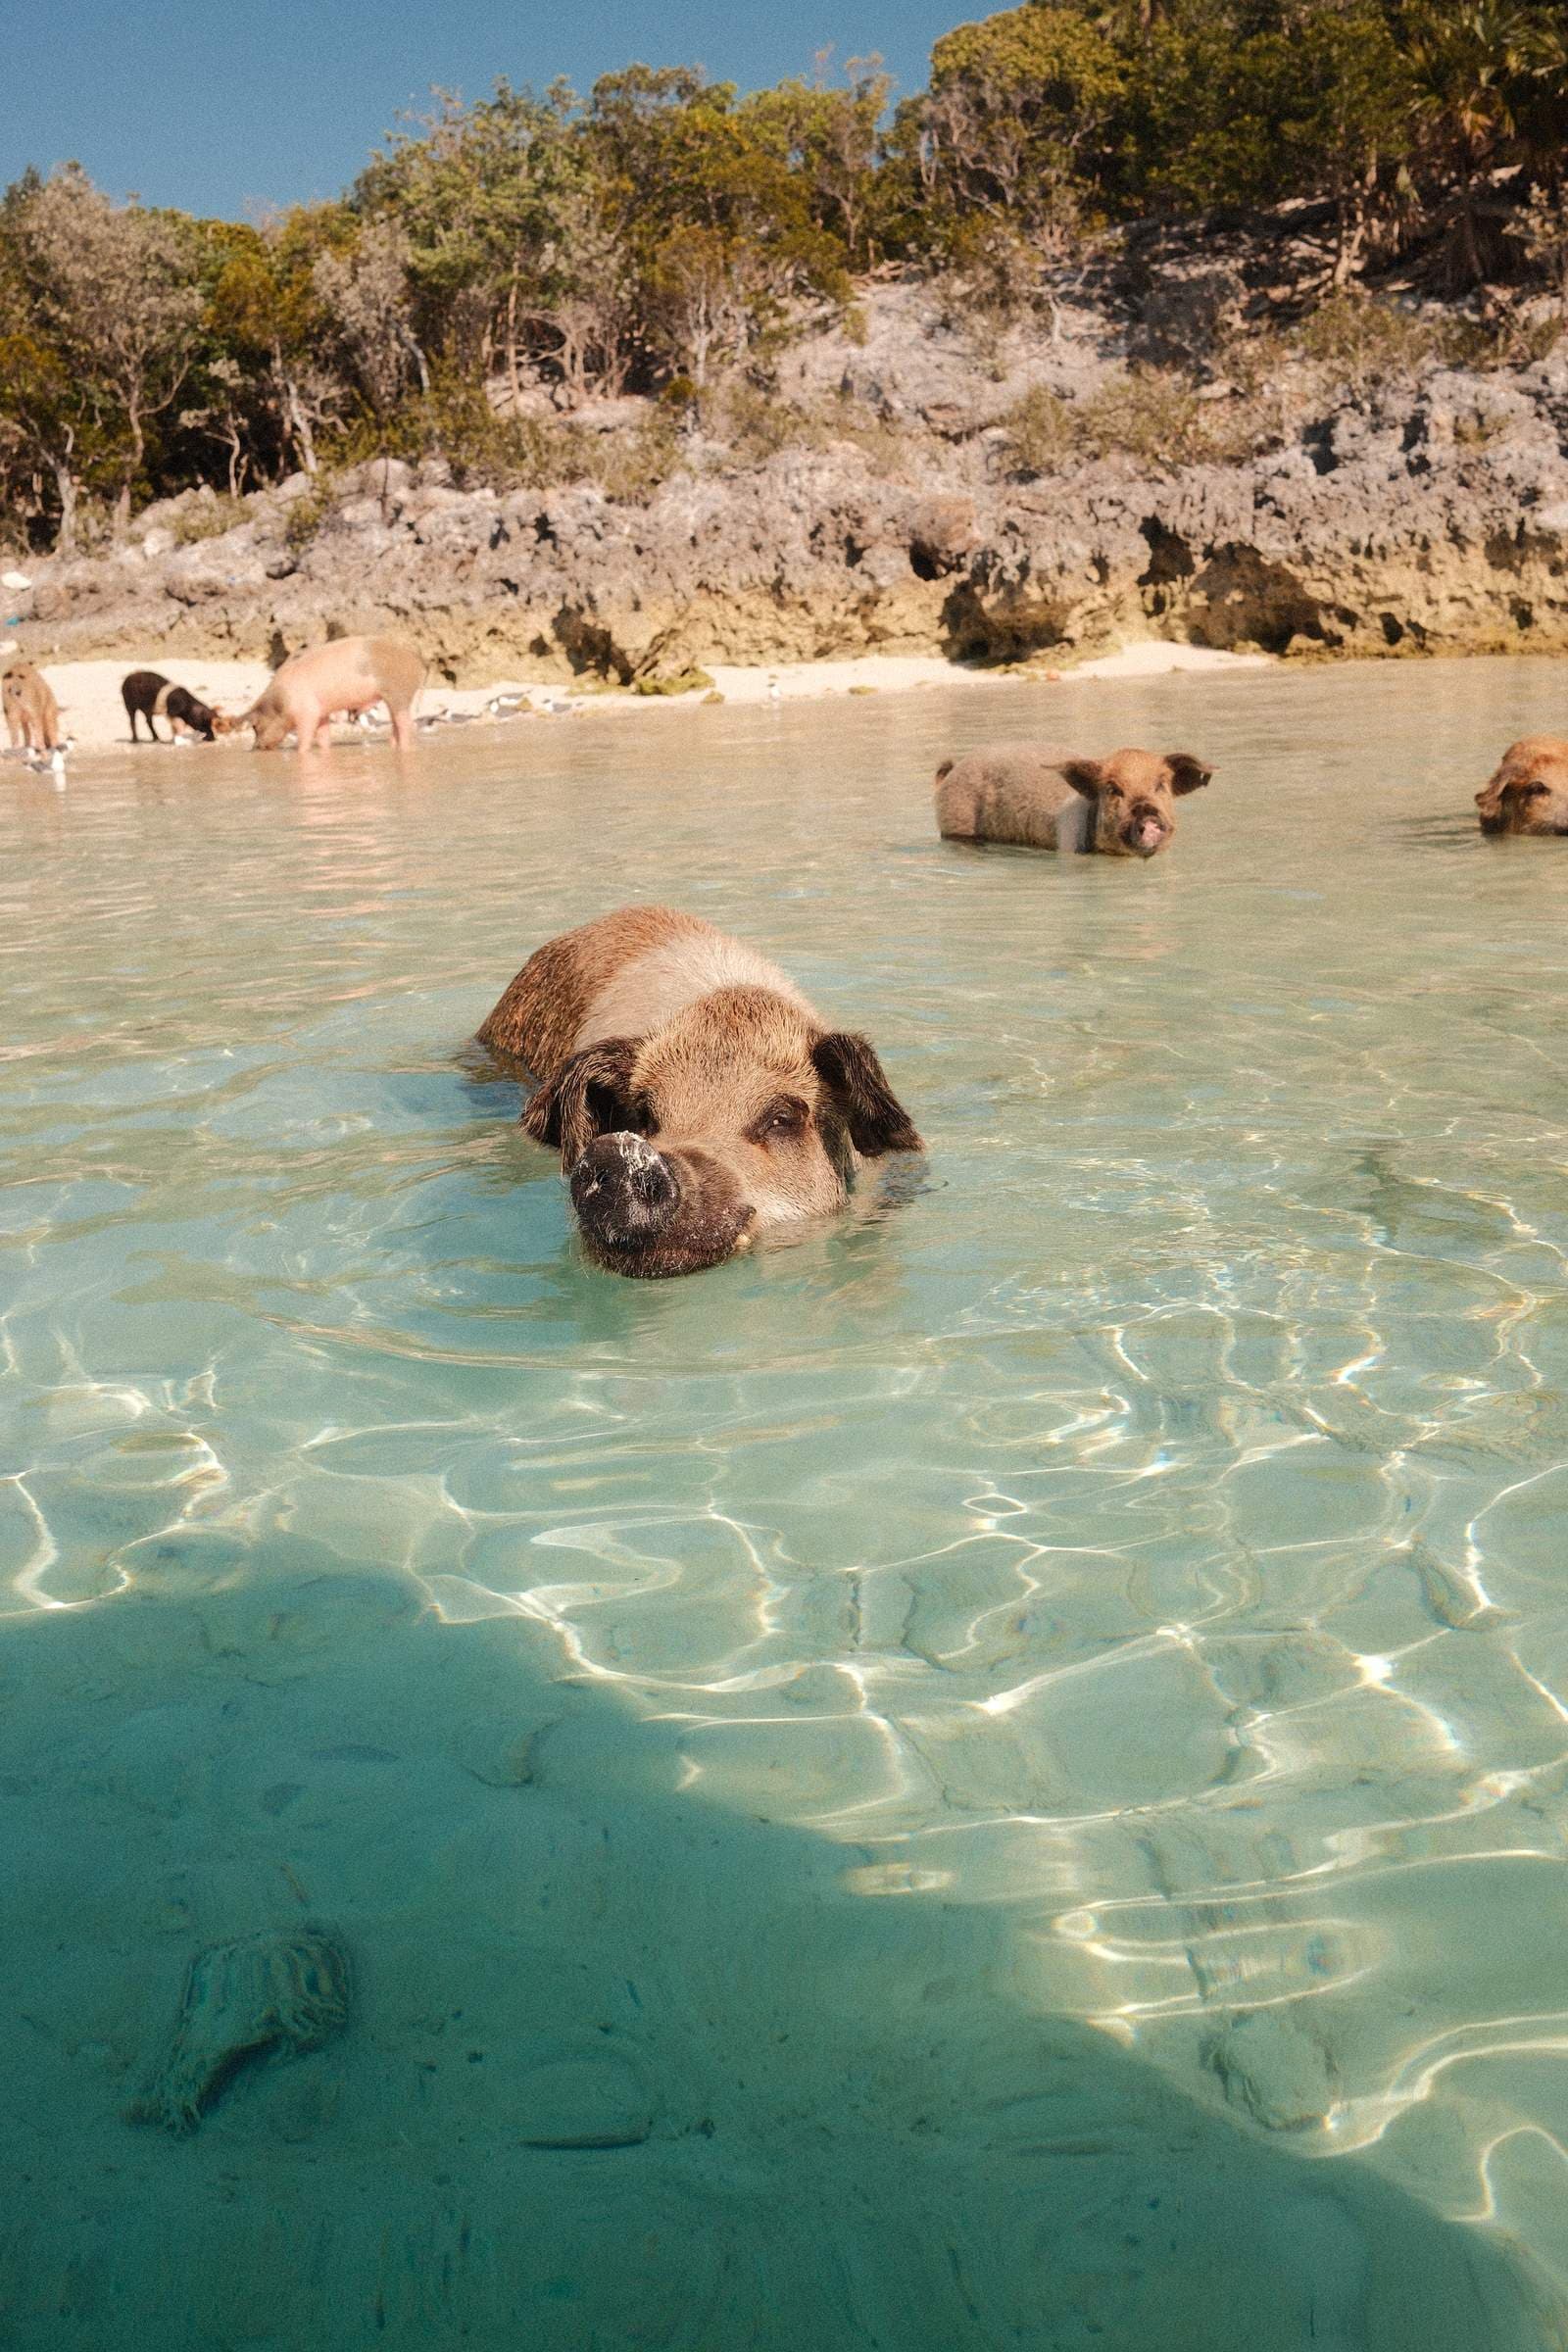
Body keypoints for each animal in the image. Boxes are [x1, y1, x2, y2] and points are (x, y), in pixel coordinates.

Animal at [236, 634, 425, 752]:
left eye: (256, 727)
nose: (255, 747)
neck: (281, 701)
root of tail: (416, 658)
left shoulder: (307, 712)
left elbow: (305, 738)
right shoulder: (321, 712)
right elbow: (323, 737)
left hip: (399, 692)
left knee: (406, 725)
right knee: (396, 725)